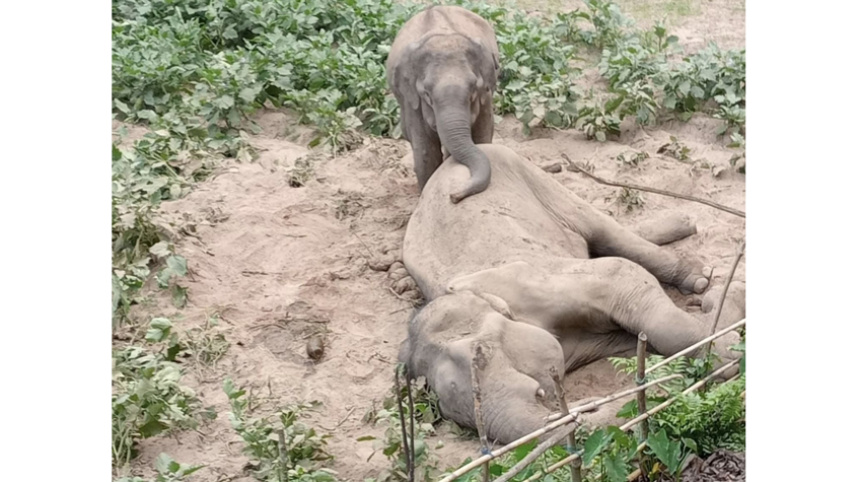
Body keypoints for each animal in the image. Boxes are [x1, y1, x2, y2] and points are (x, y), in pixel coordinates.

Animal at [386, 5, 500, 203]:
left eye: (473, 89)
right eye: (427, 94)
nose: (453, 195)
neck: (444, 36)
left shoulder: (486, 96)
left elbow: (482, 136)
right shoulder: (412, 101)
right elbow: (426, 153)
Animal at [397, 144, 743, 445]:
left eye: (481, 355)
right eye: (453, 414)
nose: (591, 403)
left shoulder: (535, 279)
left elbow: (621, 274)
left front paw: (726, 344)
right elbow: (634, 341)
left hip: (530, 174)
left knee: (602, 229)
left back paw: (698, 277)